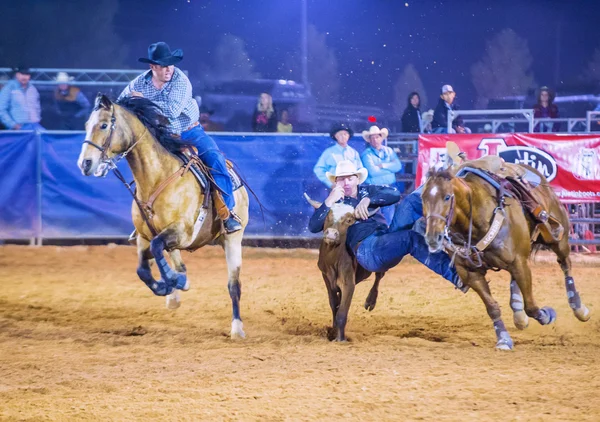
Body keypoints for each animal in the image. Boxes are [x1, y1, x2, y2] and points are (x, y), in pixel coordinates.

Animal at [78, 95, 251, 340]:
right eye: (86, 125)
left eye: (103, 125)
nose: (85, 164)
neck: (157, 178)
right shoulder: (144, 237)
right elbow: (143, 269)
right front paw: (167, 285)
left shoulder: (182, 231)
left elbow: (159, 250)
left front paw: (171, 282)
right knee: (176, 261)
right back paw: (176, 289)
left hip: (232, 239)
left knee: (234, 285)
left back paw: (236, 328)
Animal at [422, 162, 592, 350]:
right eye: (423, 198)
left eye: (447, 197)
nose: (432, 237)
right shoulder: (470, 273)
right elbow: (492, 308)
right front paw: (503, 339)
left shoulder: (518, 262)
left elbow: (531, 307)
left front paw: (548, 315)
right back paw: (518, 313)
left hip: (558, 239)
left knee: (565, 265)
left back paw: (579, 308)